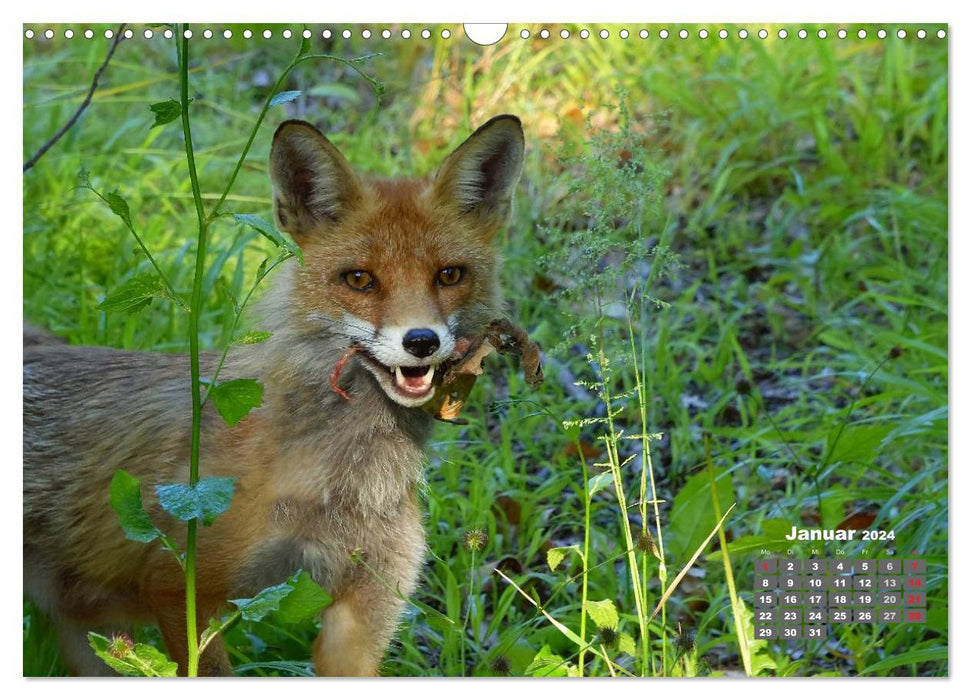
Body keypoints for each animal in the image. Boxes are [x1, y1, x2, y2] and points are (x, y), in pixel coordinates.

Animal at [22, 113, 524, 672]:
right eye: (359, 279)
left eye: (449, 275)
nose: (420, 341)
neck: (346, 487)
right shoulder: (179, 588)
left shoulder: (365, 610)